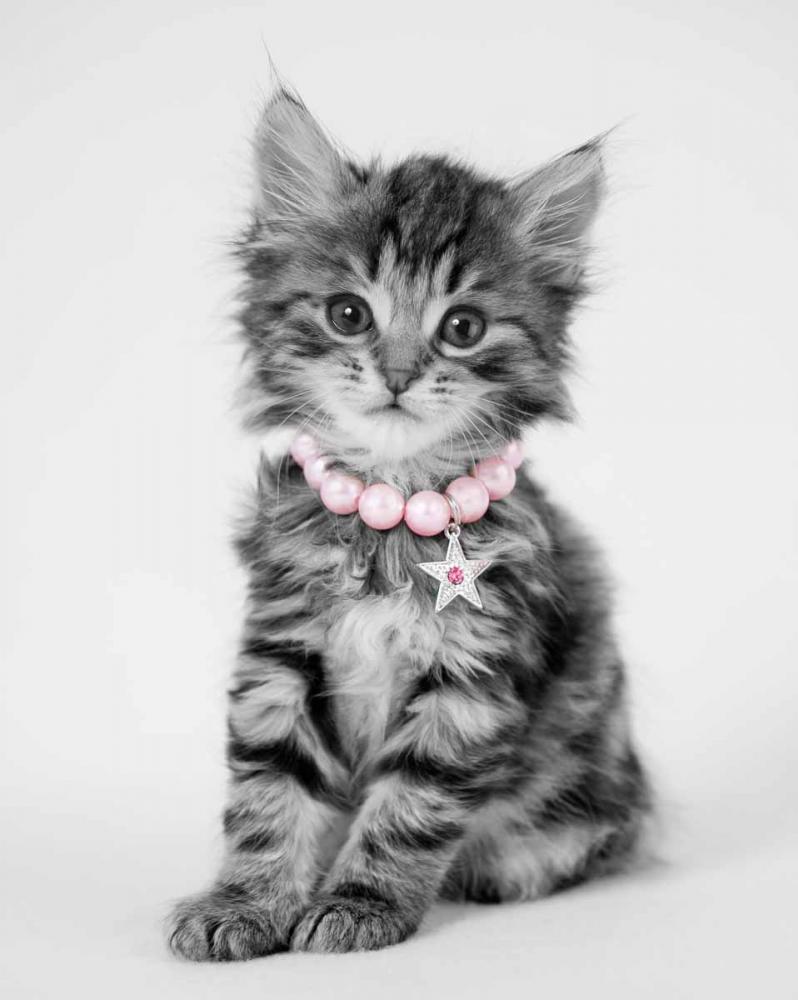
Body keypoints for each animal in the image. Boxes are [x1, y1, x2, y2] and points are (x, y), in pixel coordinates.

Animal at [166, 87, 652, 959]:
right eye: (347, 314)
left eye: (462, 328)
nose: (396, 375)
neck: (389, 516)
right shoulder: (282, 655)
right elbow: (270, 796)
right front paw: (245, 904)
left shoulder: (471, 677)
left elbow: (409, 808)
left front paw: (361, 903)